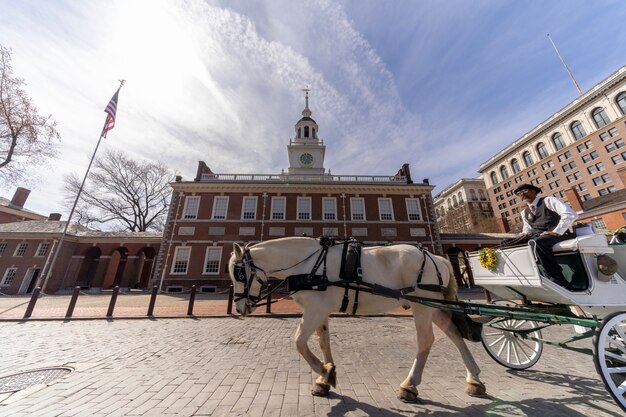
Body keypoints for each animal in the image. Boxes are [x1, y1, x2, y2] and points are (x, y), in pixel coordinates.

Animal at [227, 236, 486, 402]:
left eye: (238, 273)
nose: (239, 307)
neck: (310, 264)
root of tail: (437, 257)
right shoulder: (321, 309)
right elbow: (323, 342)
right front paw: (325, 377)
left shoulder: (314, 308)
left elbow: (299, 342)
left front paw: (324, 372)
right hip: (433, 306)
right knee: (454, 333)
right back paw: (474, 379)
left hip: (421, 305)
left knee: (426, 340)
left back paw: (409, 385)